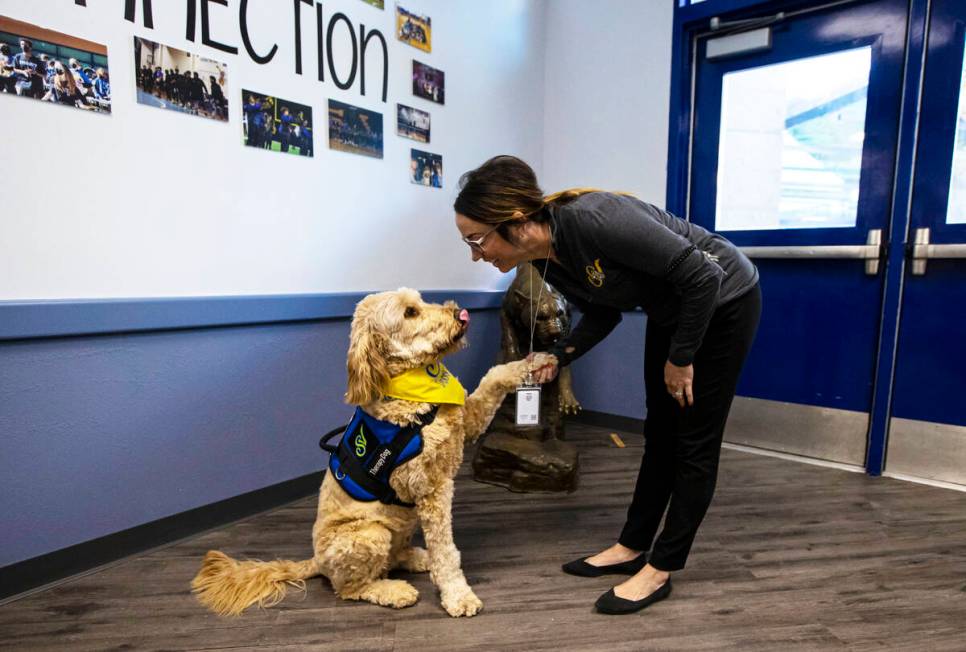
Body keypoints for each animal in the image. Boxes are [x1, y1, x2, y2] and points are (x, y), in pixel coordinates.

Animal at [192, 290, 552, 616]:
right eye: (410, 312)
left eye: (421, 300)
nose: (458, 313)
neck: (412, 392)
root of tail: (316, 561)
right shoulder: (431, 488)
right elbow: (446, 550)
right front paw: (457, 595)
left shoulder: (469, 420)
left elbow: (494, 377)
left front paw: (537, 362)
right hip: (368, 535)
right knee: (349, 588)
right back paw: (393, 590)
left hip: (400, 525)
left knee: (393, 557)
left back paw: (415, 558)